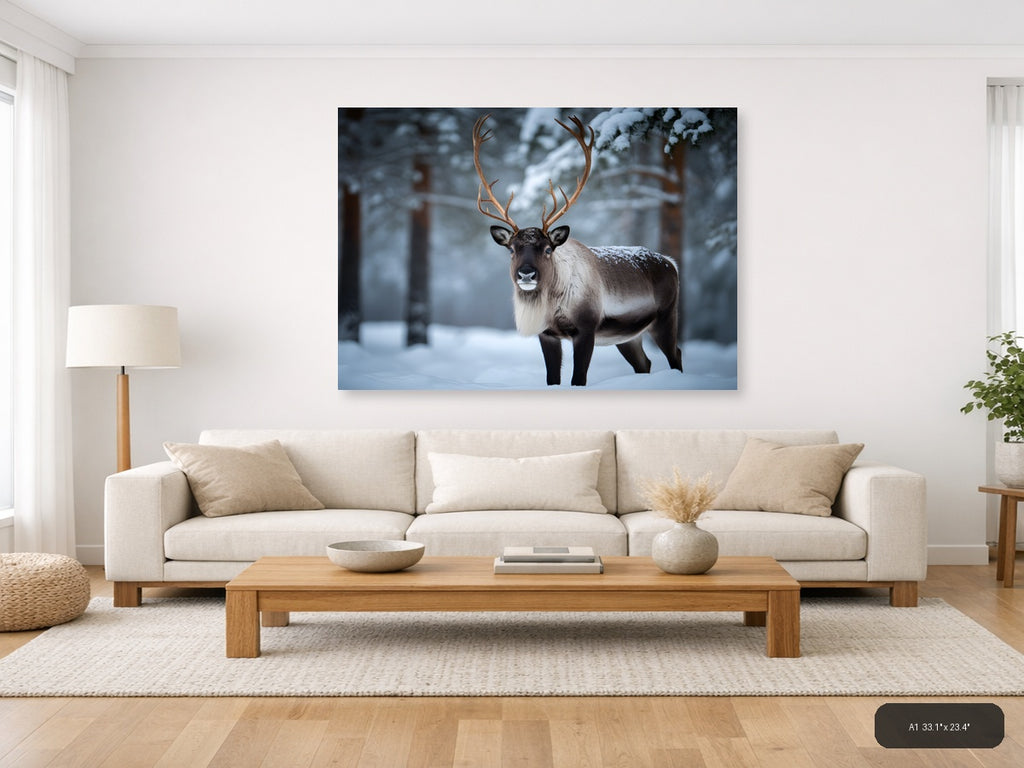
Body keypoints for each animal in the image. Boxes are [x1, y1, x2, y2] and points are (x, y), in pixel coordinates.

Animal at [472, 113, 684, 386]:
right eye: (511, 249)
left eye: (548, 249)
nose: (526, 274)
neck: (553, 308)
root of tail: (672, 263)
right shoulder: (547, 335)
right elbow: (552, 378)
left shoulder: (586, 329)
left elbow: (578, 379)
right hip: (628, 336)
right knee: (644, 363)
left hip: (666, 316)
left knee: (676, 354)